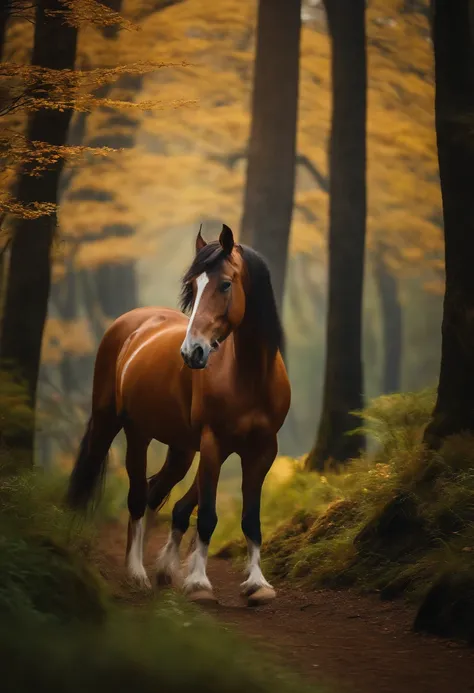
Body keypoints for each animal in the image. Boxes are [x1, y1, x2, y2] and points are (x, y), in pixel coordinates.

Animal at [65, 224, 288, 604]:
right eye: (193, 287)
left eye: (225, 284)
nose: (192, 352)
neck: (250, 376)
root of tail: (130, 323)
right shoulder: (213, 445)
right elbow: (207, 515)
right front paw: (198, 583)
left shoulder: (262, 451)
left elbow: (248, 518)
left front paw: (258, 584)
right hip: (123, 429)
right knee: (133, 494)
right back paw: (134, 572)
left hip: (181, 450)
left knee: (154, 492)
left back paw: (158, 568)